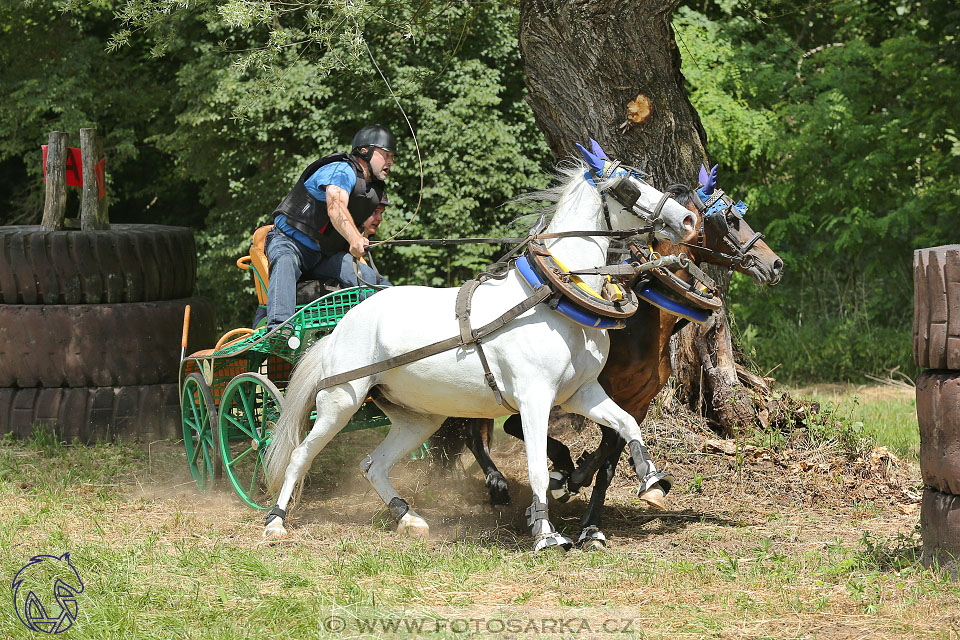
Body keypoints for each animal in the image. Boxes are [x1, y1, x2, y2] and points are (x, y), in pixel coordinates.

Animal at [262, 145, 696, 552]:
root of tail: (341, 324)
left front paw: (652, 482)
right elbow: (538, 467)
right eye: (629, 186)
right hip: (341, 400)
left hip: (417, 418)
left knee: (374, 465)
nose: (688, 220)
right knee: (301, 454)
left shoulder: (583, 393)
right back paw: (276, 522)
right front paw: (545, 533)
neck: (555, 296)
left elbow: (627, 425)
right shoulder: (535, 398)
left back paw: (408, 518)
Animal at [454, 166, 784, 552]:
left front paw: (592, 522)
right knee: (478, 430)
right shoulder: (581, 389)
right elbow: (589, 444)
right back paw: (498, 484)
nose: (775, 264)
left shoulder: (636, 402)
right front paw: (569, 478)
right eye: (730, 219)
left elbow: (612, 455)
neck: (645, 323)